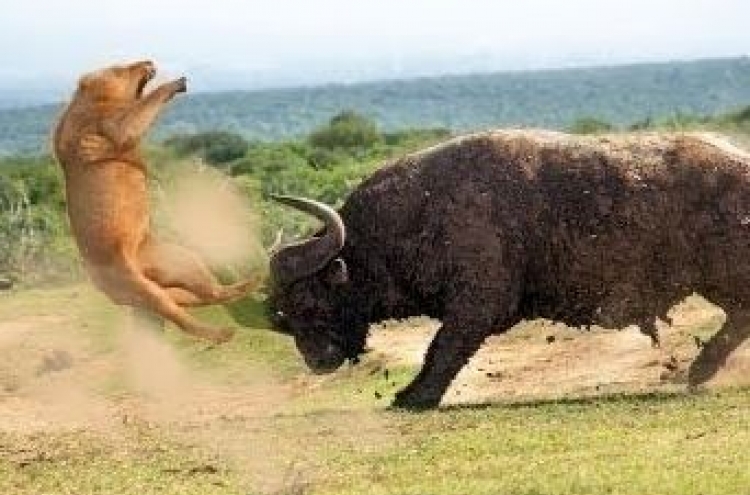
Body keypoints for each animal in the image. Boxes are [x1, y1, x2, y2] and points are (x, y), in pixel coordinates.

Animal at [53, 60, 258, 342]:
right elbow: (139, 115)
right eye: (119, 68)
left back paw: (251, 285)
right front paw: (176, 83)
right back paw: (221, 332)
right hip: (141, 289)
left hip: (180, 260)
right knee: (182, 315)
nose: (149, 62)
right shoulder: (114, 126)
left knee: (208, 294)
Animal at [268, 130, 750, 408]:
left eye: (309, 301)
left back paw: (699, 370)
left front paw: (415, 396)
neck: (417, 216)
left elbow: (443, 348)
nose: (316, 361)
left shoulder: (477, 305)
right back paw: (699, 370)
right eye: (283, 313)